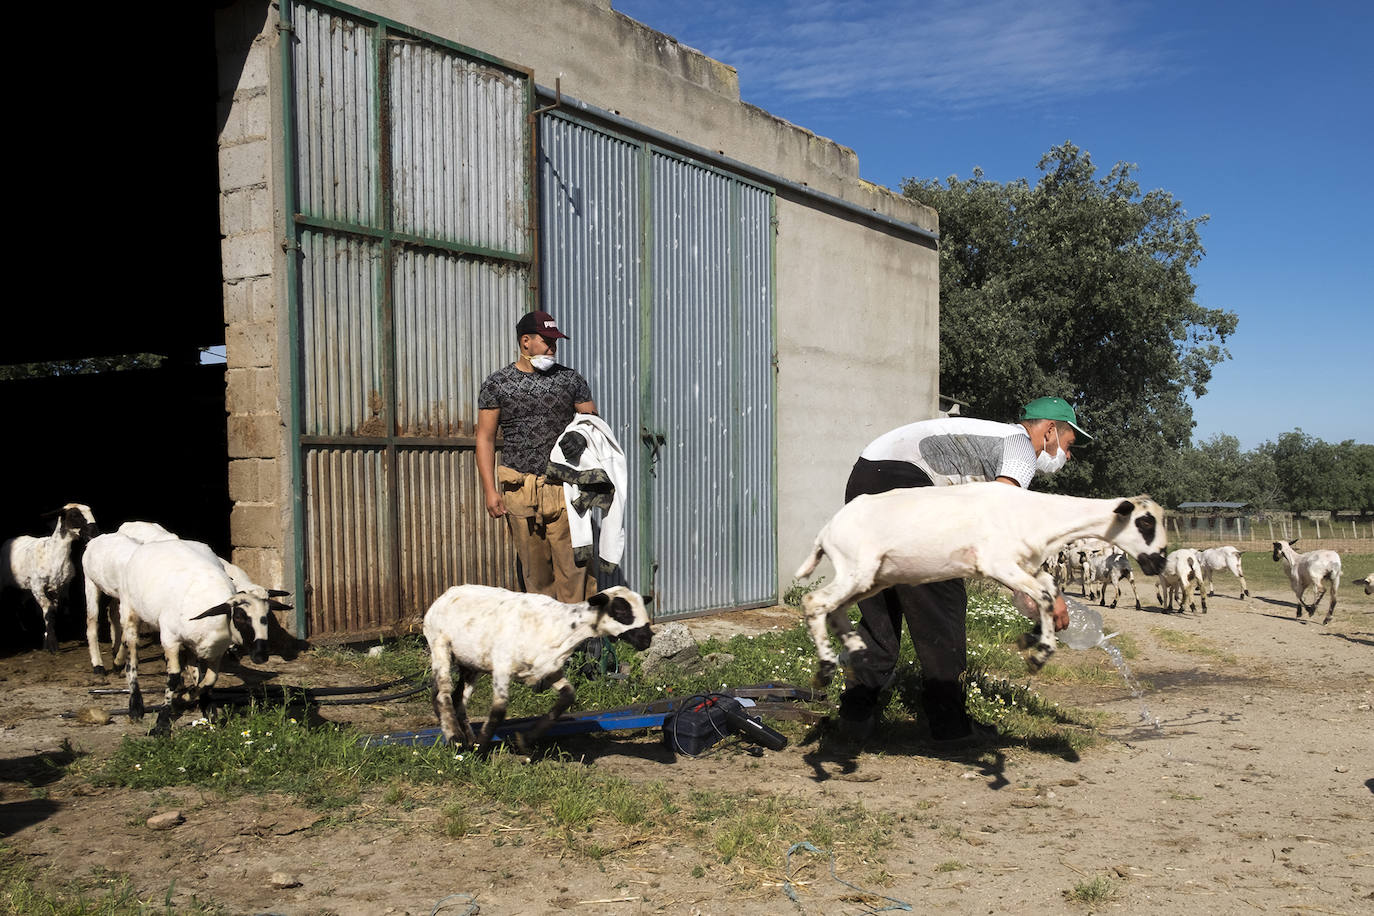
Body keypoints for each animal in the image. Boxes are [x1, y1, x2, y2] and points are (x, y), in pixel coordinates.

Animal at [2, 505, 99, 656]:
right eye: (74, 514)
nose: (94, 531)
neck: (53, 553)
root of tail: (10, 540)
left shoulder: (59, 588)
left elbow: (54, 611)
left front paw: (47, 641)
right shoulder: (38, 587)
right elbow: (48, 611)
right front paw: (52, 644)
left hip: (25, 588)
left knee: (20, 605)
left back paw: (25, 629)